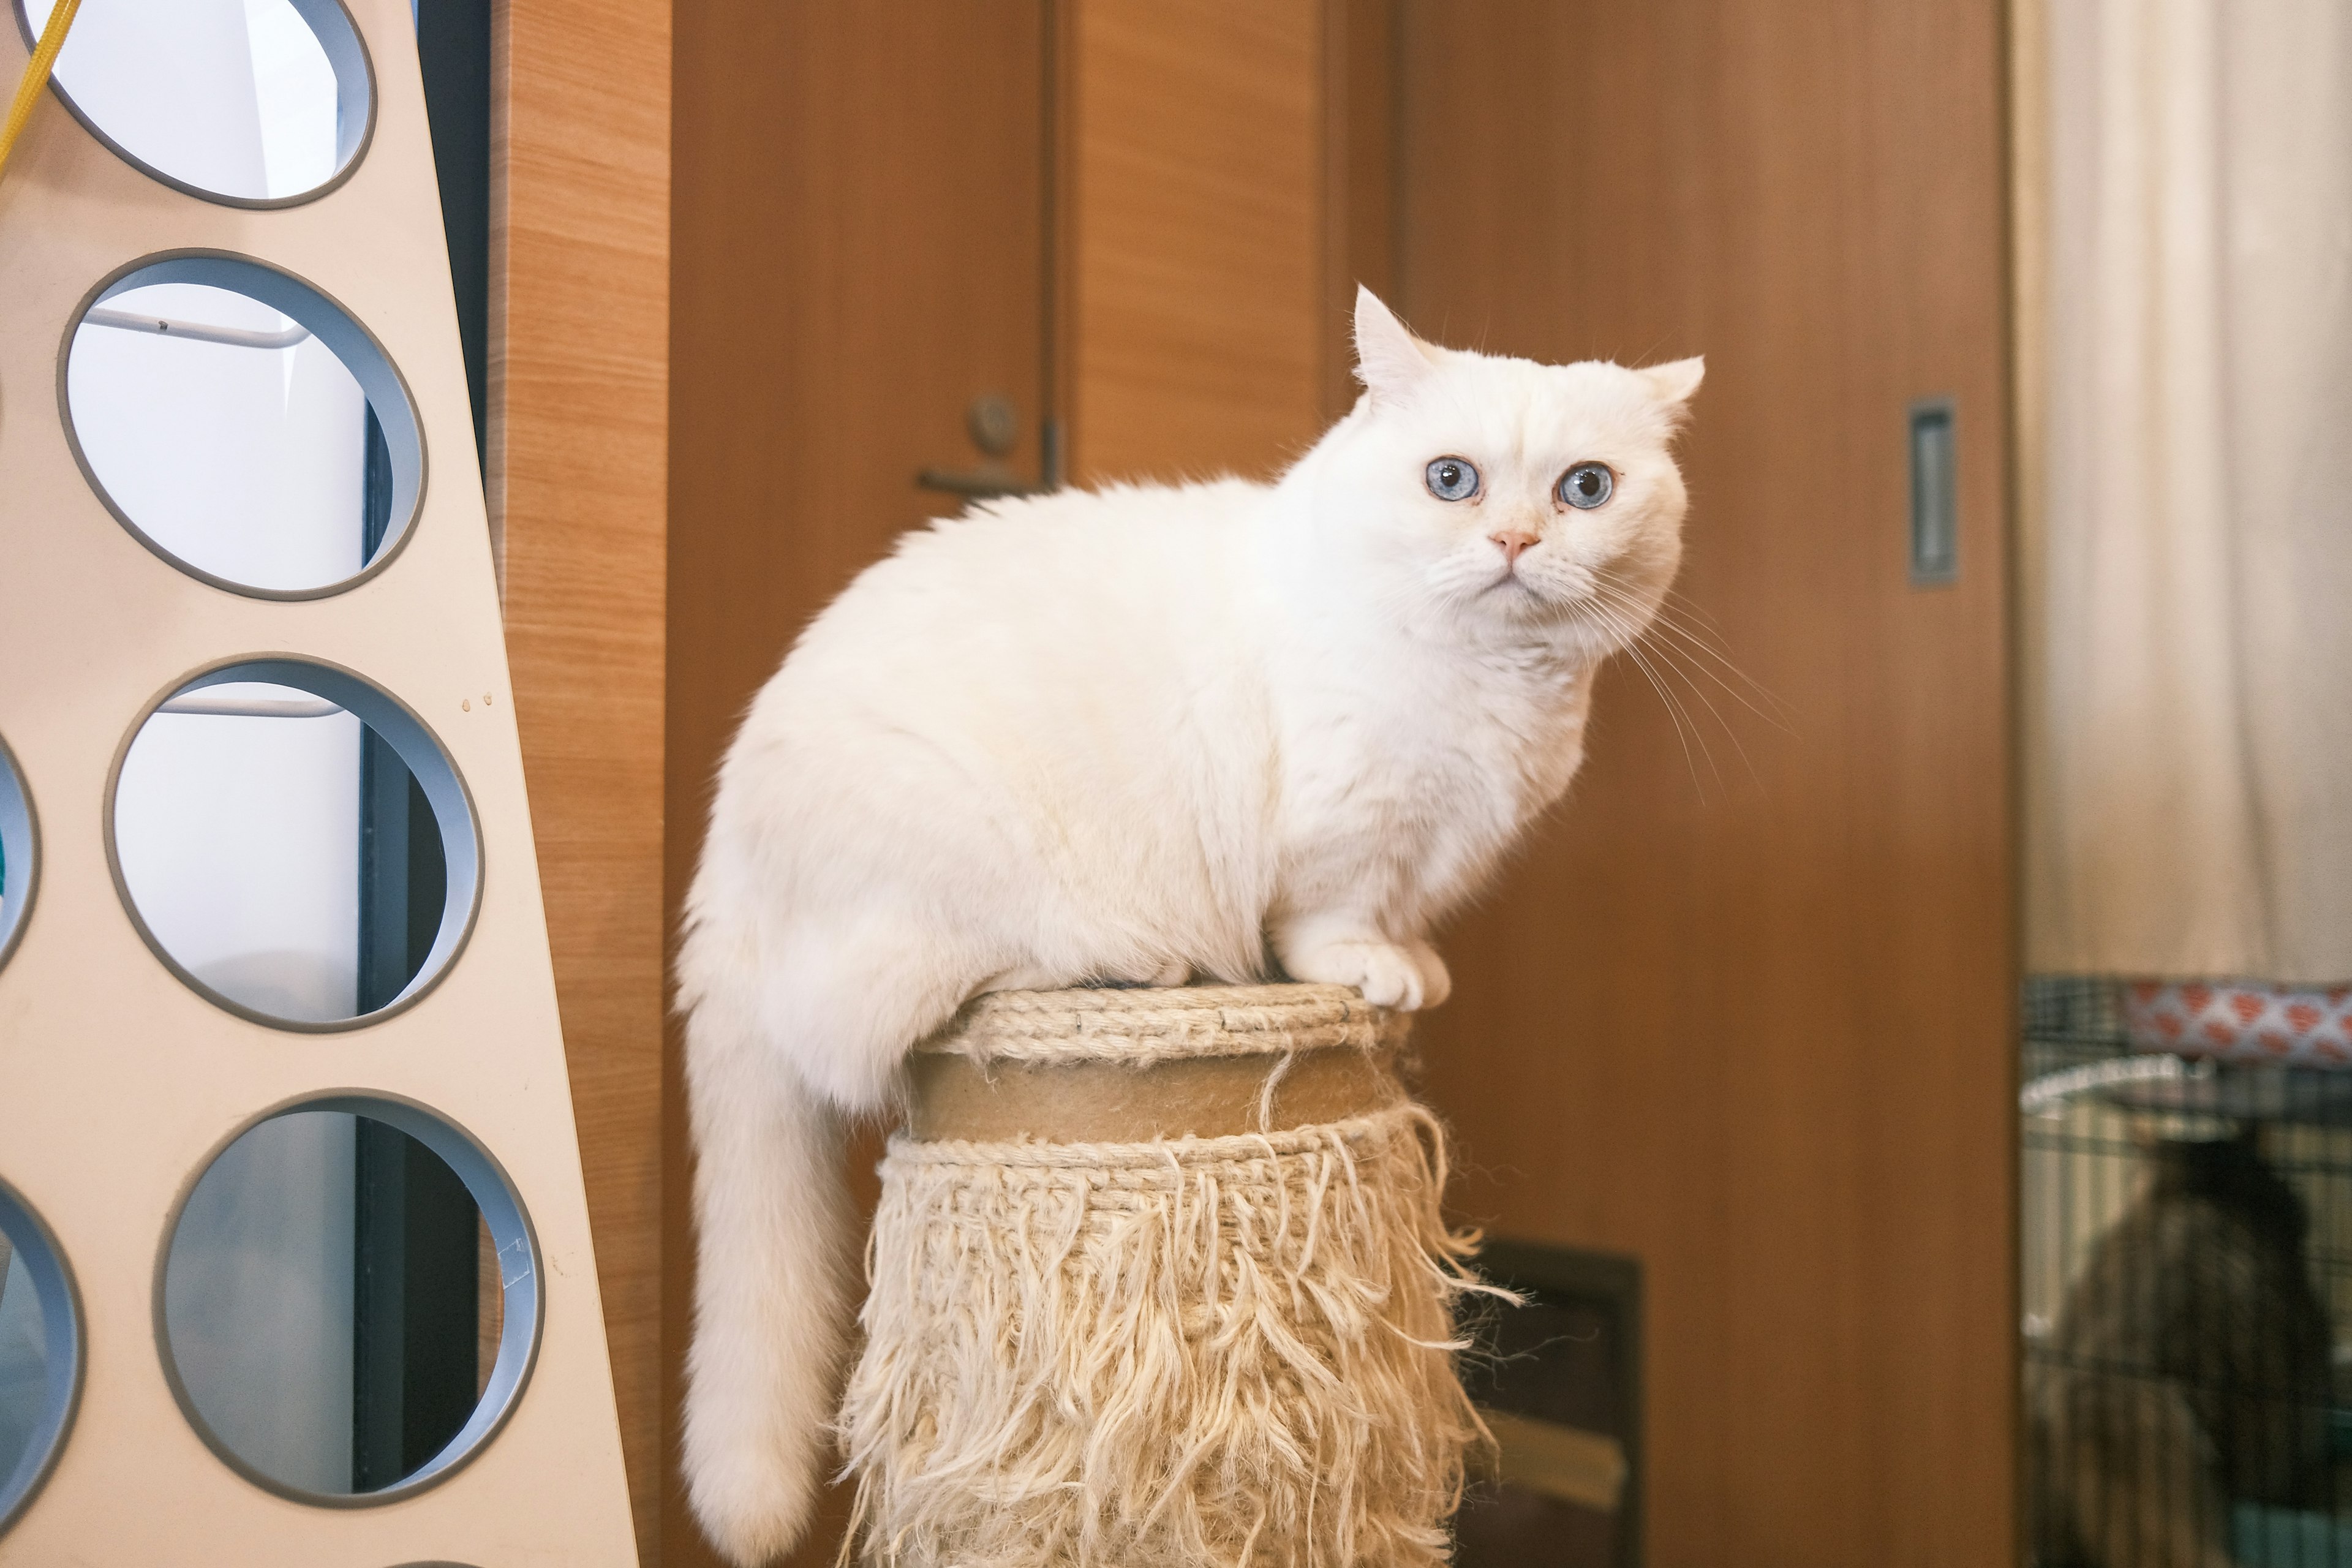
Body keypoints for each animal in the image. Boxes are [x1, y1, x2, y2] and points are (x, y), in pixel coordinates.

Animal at [673, 288, 1703, 1561]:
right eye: (1452, 480)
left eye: (1586, 489)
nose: (1515, 541)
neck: (1497, 691)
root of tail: (722, 858)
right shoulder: (1344, 837)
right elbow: (1334, 926)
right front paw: (1375, 974)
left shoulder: (1423, 855)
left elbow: (1403, 925)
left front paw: (1416, 966)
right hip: (959, 876)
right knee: (893, 1007)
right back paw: (1133, 963)